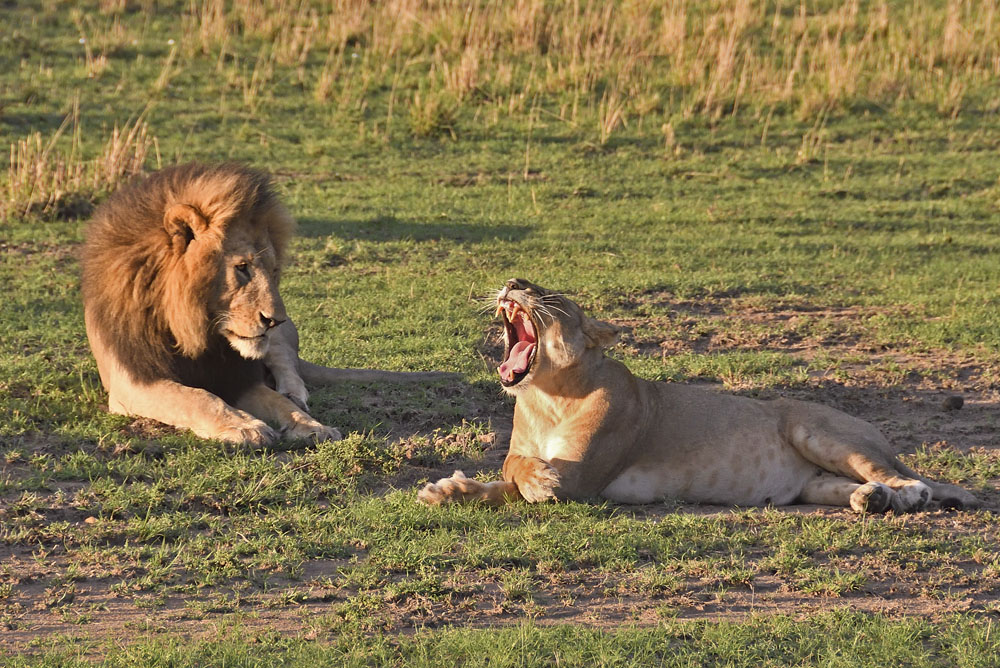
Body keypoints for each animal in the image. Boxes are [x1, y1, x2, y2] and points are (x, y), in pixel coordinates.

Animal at [82, 162, 448, 447]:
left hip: (280, 344)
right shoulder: (133, 382)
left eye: (273, 270)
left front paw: (312, 426)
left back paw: (294, 393)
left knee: (290, 367)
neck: (196, 332)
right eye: (242, 268)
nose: (275, 320)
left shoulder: (238, 375)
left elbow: (275, 402)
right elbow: (198, 398)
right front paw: (244, 426)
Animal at [419, 279, 978, 513]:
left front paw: (537, 482)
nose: (512, 281)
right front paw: (446, 491)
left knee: (906, 478)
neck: (546, 395)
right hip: (814, 483)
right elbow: (507, 472)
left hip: (818, 430)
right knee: (851, 487)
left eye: (548, 296)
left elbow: (522, 476)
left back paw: (905, 495)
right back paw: (872, 499)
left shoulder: (583, 479)